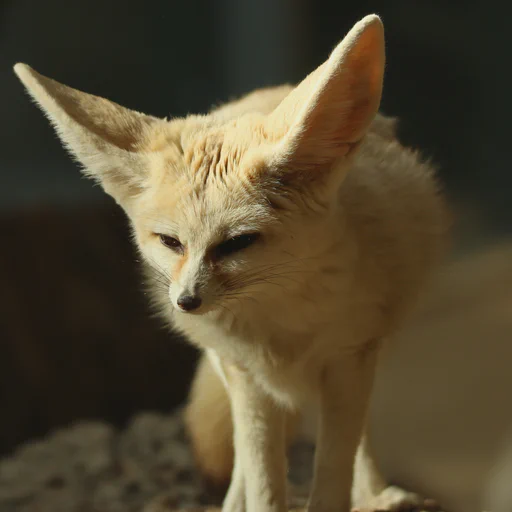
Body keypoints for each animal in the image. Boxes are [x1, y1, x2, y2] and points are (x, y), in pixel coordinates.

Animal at [15, 15, 448, 512]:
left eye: (238, 243)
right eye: (171, 242)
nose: (187, 301)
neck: (281, 321)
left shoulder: (349, 360)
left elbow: (335, 467)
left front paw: (352, 492)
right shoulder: (249, 376)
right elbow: (262, 477)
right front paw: (255, 498)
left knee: (362, 438)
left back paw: (377, 493)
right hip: (228, 365)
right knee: (244, 452)